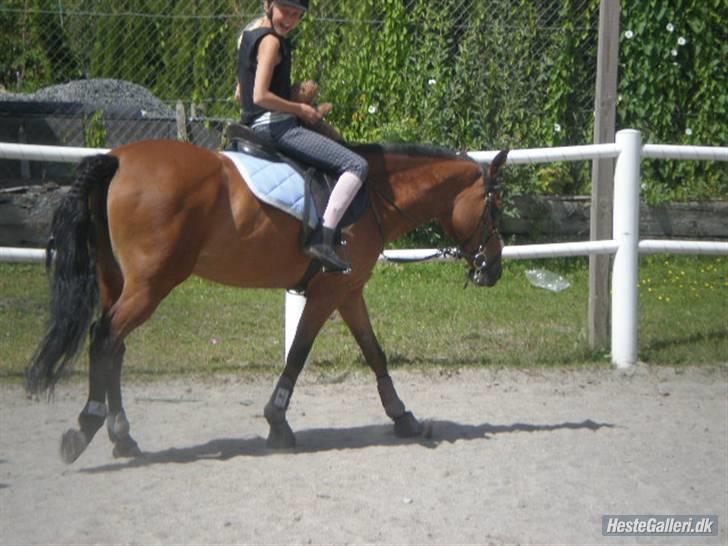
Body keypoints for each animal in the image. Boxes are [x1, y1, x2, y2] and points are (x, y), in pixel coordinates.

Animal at [27, 138, 506, 462]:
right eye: (496, 210)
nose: (493, 270)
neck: (373, 195)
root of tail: (118, 158)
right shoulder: (328, 292)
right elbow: (298, 352)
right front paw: (278, 423)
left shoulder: (349, 291)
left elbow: (374, 352)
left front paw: (402, 417)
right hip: (150, 286)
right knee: (104, 337)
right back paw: (88, 427)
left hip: (118, 281)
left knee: (115, 347)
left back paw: (121, 434)